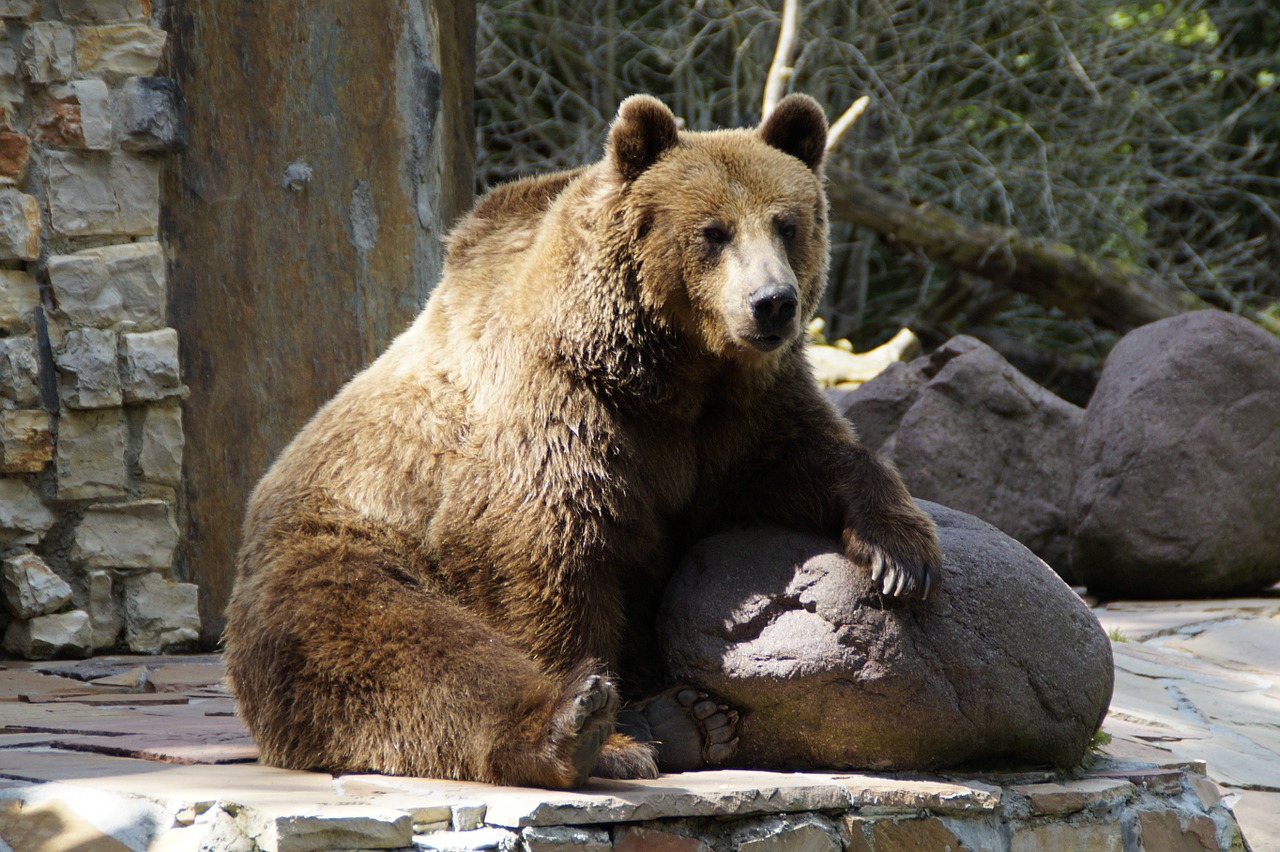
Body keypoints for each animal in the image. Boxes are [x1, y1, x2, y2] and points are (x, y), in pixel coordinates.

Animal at [222, 89, 942, 788]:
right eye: (713, 232)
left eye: (787, 224)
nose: (772, 303)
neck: (673, 372)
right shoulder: (565, 412)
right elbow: (545, 558)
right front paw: (602, 718)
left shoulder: (739, 418)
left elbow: (809, 459)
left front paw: (901, 557)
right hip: (340, 560)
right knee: (406, 650)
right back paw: (576, 729)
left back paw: (688, 716)